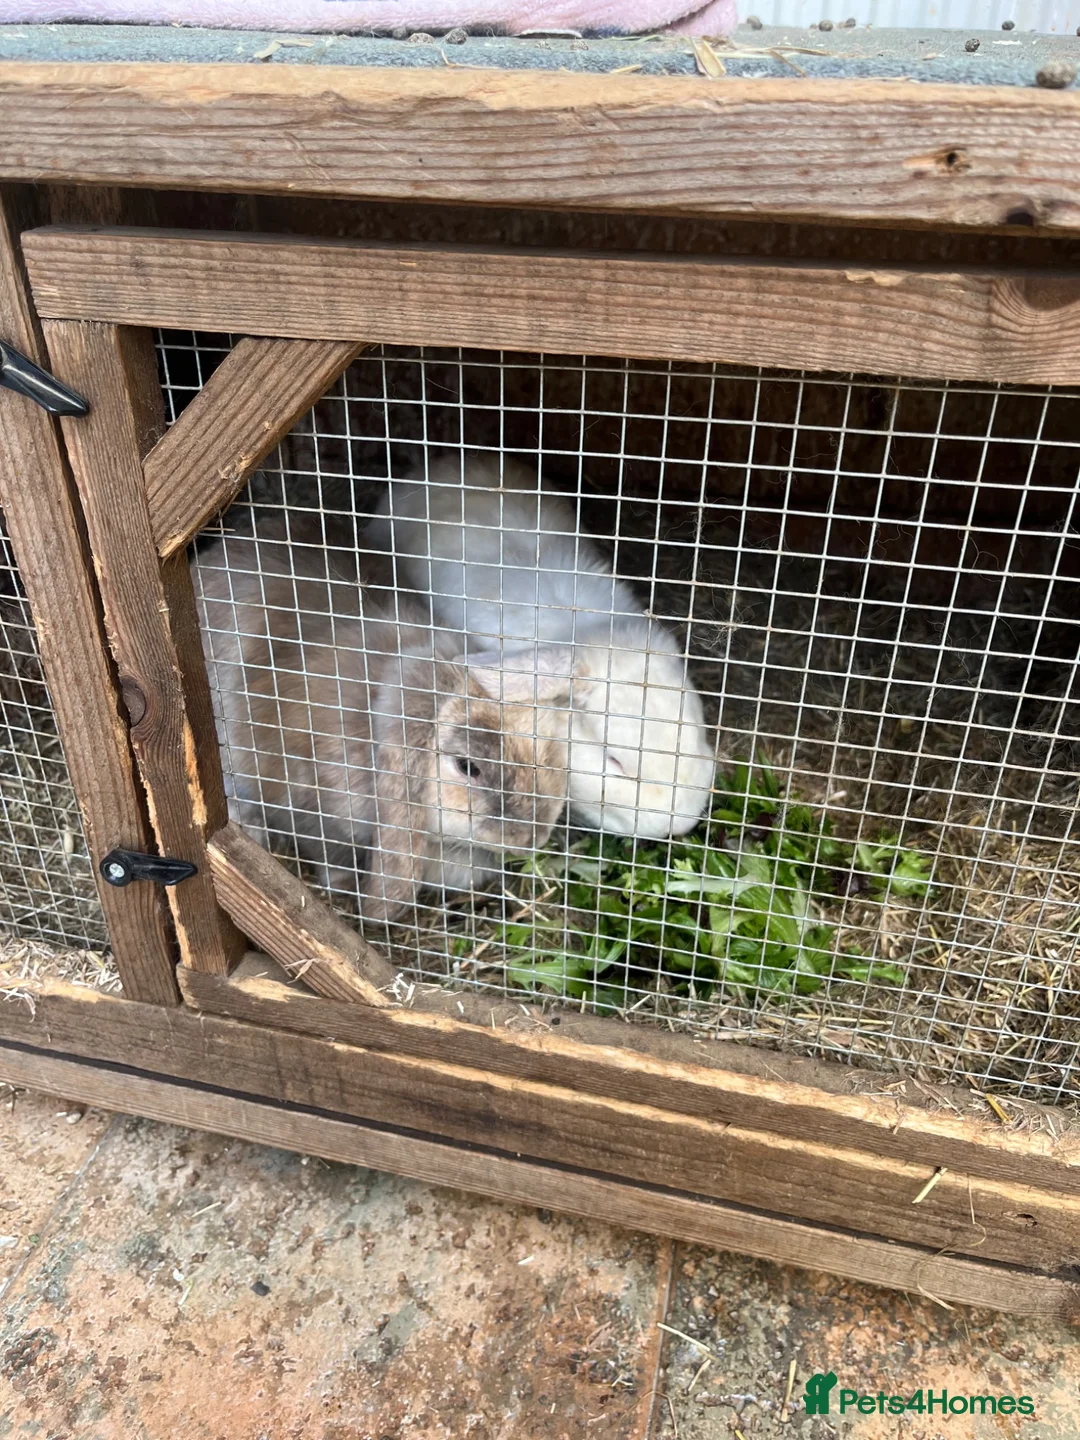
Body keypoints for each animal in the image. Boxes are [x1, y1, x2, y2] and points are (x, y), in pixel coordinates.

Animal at [192, 515, 572, 925]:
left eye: (547, 751)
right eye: (467, 767)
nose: (533, 838)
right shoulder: (312, 811)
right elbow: (332, 854)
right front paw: (348, 890)